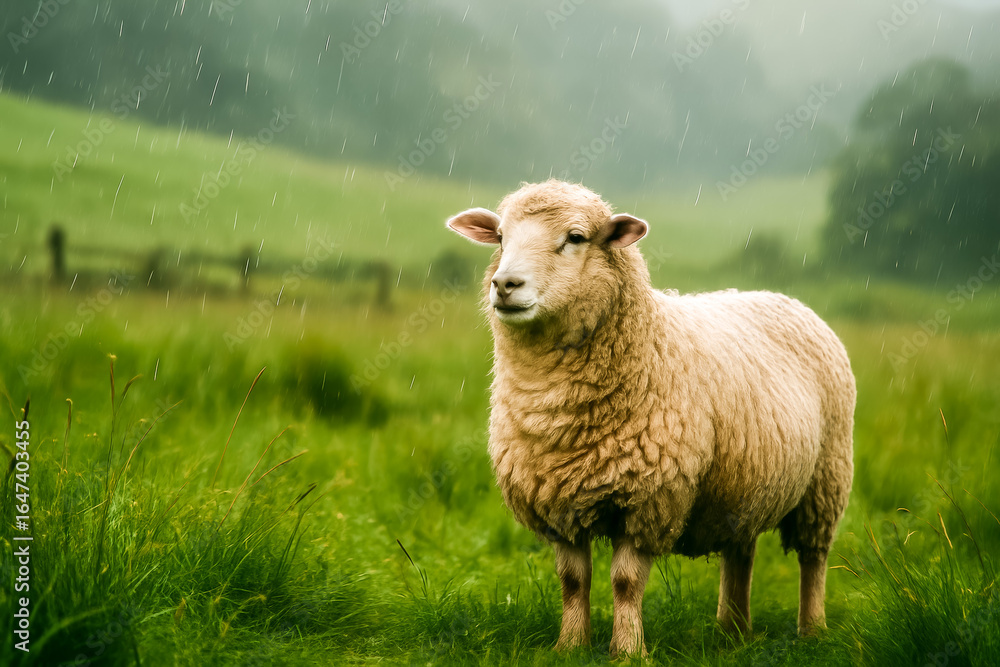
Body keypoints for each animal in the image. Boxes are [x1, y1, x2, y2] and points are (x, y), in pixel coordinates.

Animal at [445, 179, 855, 657]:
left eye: (575, 238)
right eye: (500, 237)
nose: (505, 284)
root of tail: (774, 295)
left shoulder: (648, 498)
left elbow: (625, 583)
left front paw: (627, 651)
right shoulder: (558, 503)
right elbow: (572, 581)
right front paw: (570, 646)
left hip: (826, 479)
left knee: (813, 558)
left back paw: (812, 630)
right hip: (745, 485)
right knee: (741, 553)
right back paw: (732, 631)